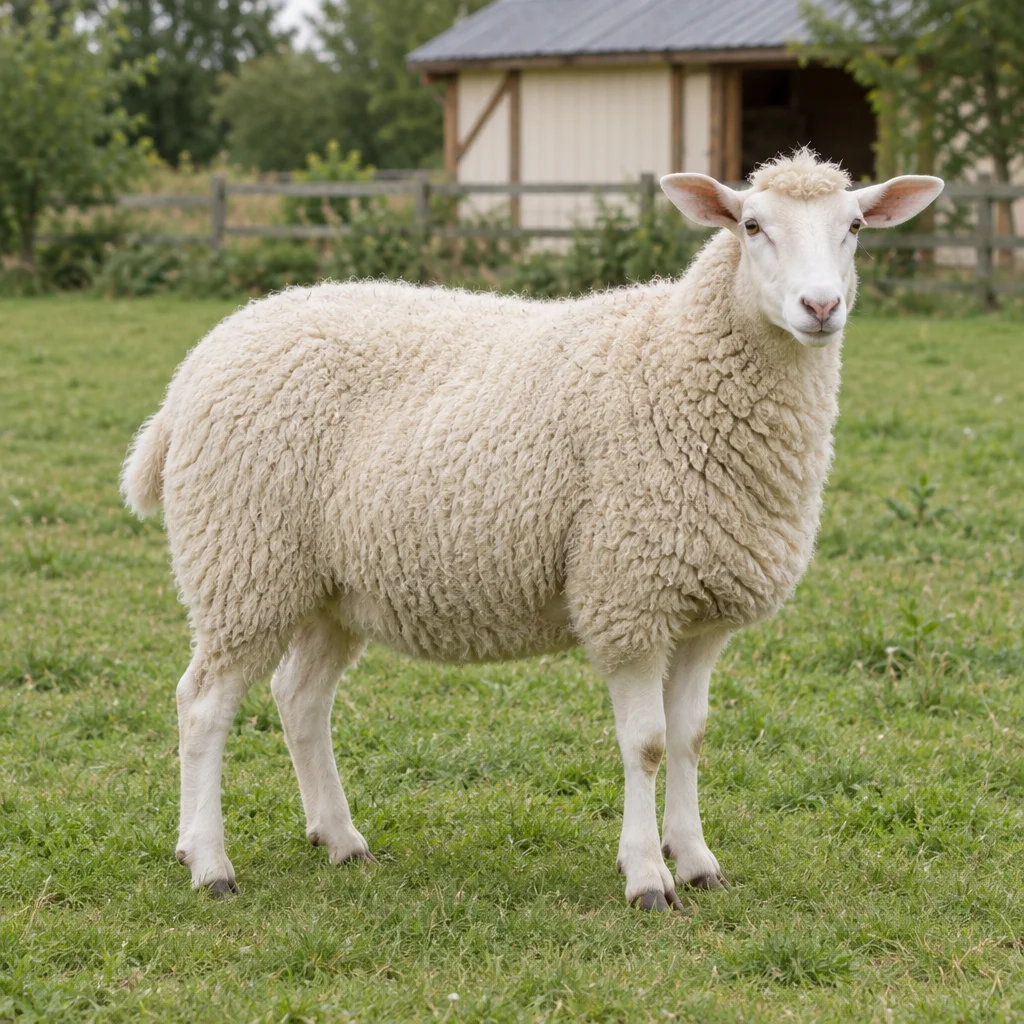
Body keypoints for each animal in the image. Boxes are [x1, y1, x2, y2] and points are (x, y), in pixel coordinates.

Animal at [122, 151, 943, 908]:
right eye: (751, 226)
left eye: (855, 227)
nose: (820, 306)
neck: (678, 358)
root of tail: (194, 368)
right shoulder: (627, 593)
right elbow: (646, 745)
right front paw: (647, 877)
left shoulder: (703, 605)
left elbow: (690, 739)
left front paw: (697, 860)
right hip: (244, 559)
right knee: (204, 704)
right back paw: (209, 863)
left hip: (331, 586)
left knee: (300, 698)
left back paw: (339, 839)